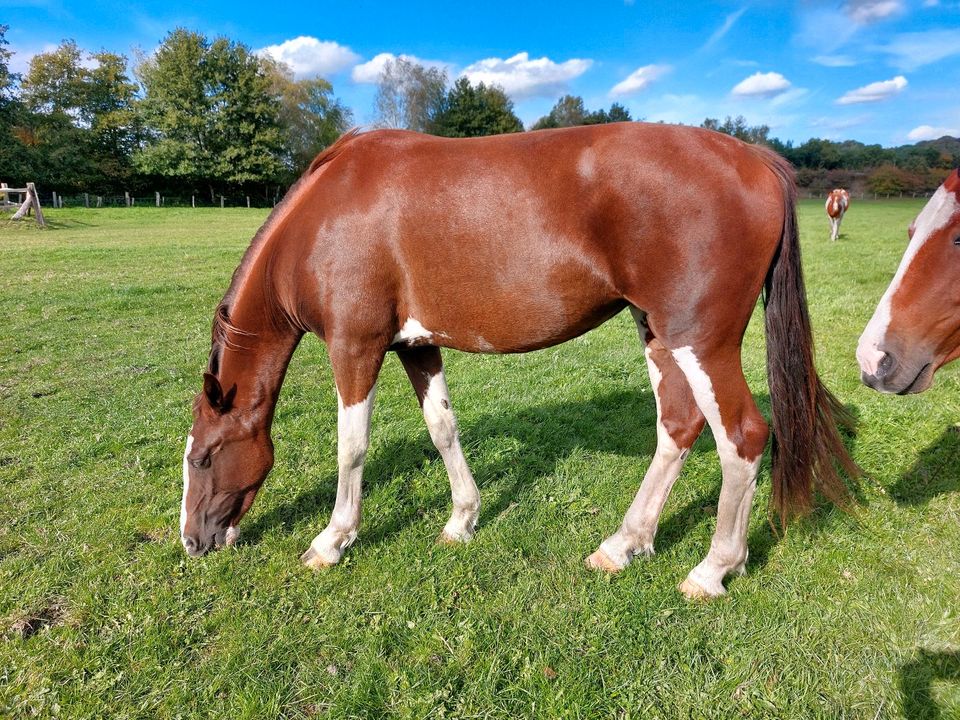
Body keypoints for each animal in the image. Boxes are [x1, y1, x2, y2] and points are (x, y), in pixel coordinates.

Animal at [180, 125, 856, 600]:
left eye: (204, 457)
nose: (193, 541)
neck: (322, 218)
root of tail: (755, 158)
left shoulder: (355, 345)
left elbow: (352, 447)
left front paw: (332, 540)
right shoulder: (416, 344)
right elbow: (443, 429)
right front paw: (462, 519)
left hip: (701, 343)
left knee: (742, 438)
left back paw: (713, 569)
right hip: (661, 335)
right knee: (678, 427)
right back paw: (624, 544)